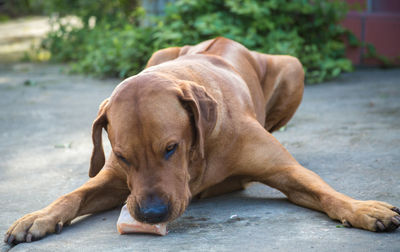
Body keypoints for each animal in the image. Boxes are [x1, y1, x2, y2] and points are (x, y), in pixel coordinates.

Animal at [3, 37, 400, 244]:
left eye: (171, 148)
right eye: (124, 157)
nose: (151, 214)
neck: (201, 150)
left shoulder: (286, 170)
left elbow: (324, 191)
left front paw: (364, 209)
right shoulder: (117, 180)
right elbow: (73, 195)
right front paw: (38, 216)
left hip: (293, 66)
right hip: (159, 52)